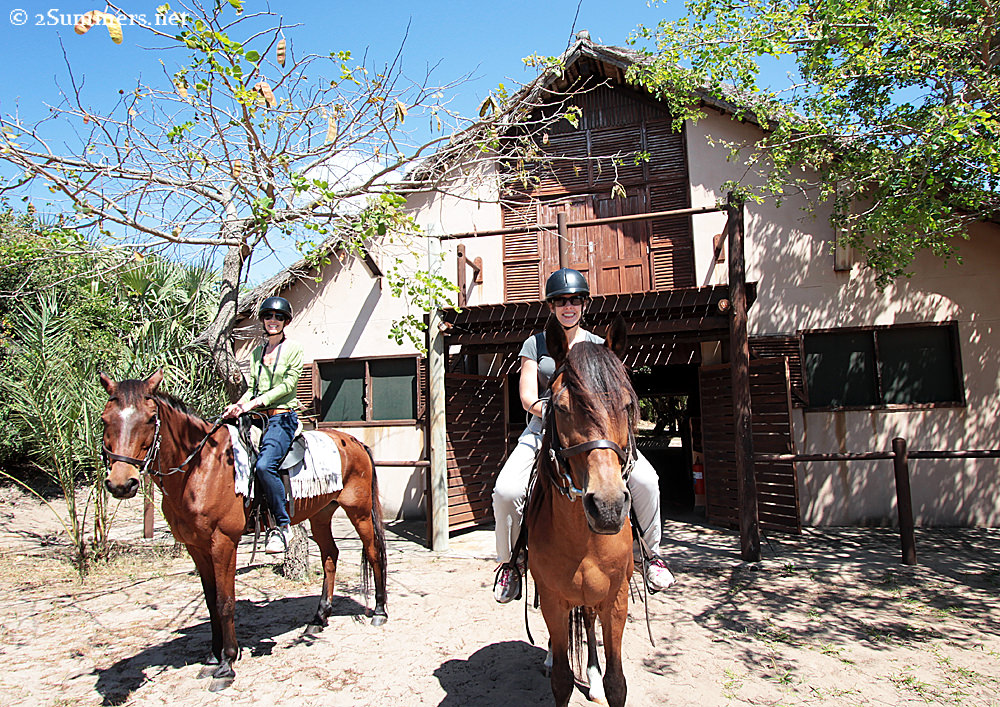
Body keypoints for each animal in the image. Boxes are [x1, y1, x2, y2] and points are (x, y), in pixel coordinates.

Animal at [99, 370, 388, 689]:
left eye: (151, 419)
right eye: (104, 419)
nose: (121, 484)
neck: (201, 467)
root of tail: (354, 441)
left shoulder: (223, 542)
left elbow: (225, 601)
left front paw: (226, 664)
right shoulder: (195, 546)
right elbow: (210, 601)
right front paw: (212, 656)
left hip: (358, 511)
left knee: (373, 552)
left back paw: (379, 611)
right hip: (321, 514)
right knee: (330, 557)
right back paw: (319, 618)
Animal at [525, 314, 637, 707]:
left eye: (628, 405)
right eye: (559, 407)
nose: (607, 507)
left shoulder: (616, 599)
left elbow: (617, 682)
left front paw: (600, 678)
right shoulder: (553, 598)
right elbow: (561, 679)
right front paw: (554, 664)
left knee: (587, 620)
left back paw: (590, 673)